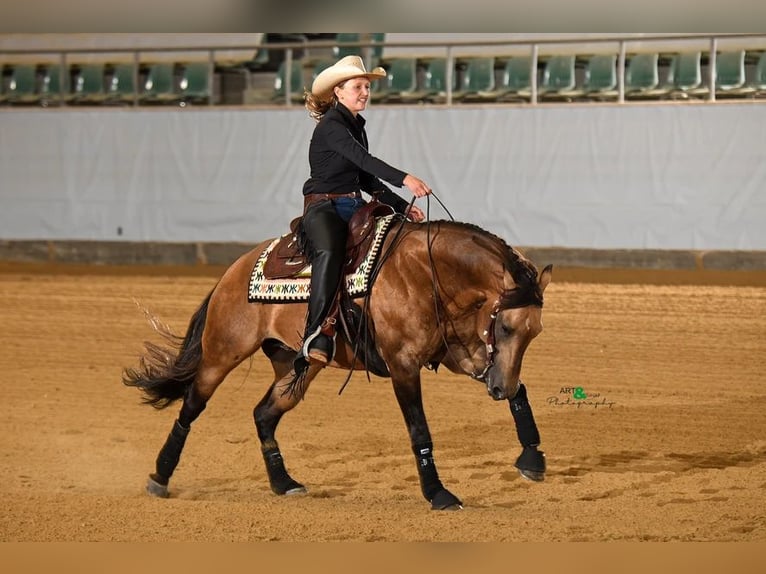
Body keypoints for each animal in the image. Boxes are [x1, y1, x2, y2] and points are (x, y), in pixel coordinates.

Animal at [121, 208, 552, 512]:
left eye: (535, 333)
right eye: (506, 327)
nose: (498, 388)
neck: (424, 271)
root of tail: (233, 271)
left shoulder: (460, 353)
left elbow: (521, 392)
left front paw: (532, 458)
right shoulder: (403, 364)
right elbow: (419, 430)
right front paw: (438, 494)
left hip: (296, 365)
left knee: (263, 414)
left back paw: (283, 483)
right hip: (221, 353)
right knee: (191, 406)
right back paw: (160, 476)